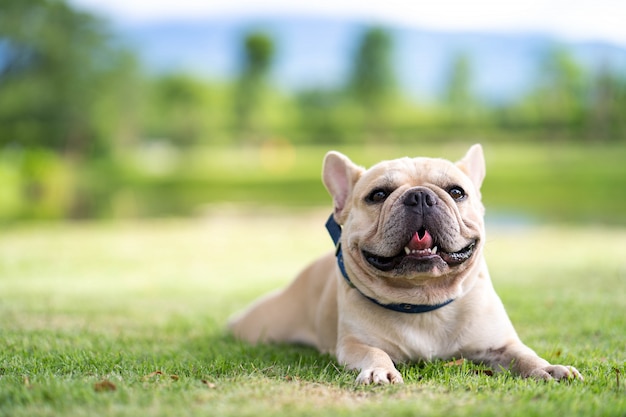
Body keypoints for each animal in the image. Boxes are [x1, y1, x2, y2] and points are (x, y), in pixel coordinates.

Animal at [228, 144, 580, 384]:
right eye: (378, 194)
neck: (424, 300)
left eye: (457, 192)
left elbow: (525, 355)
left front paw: (548, 368)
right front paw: (379, 371)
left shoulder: (500, 345)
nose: (420, 195)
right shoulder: (356, 344)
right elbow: (375, 352)